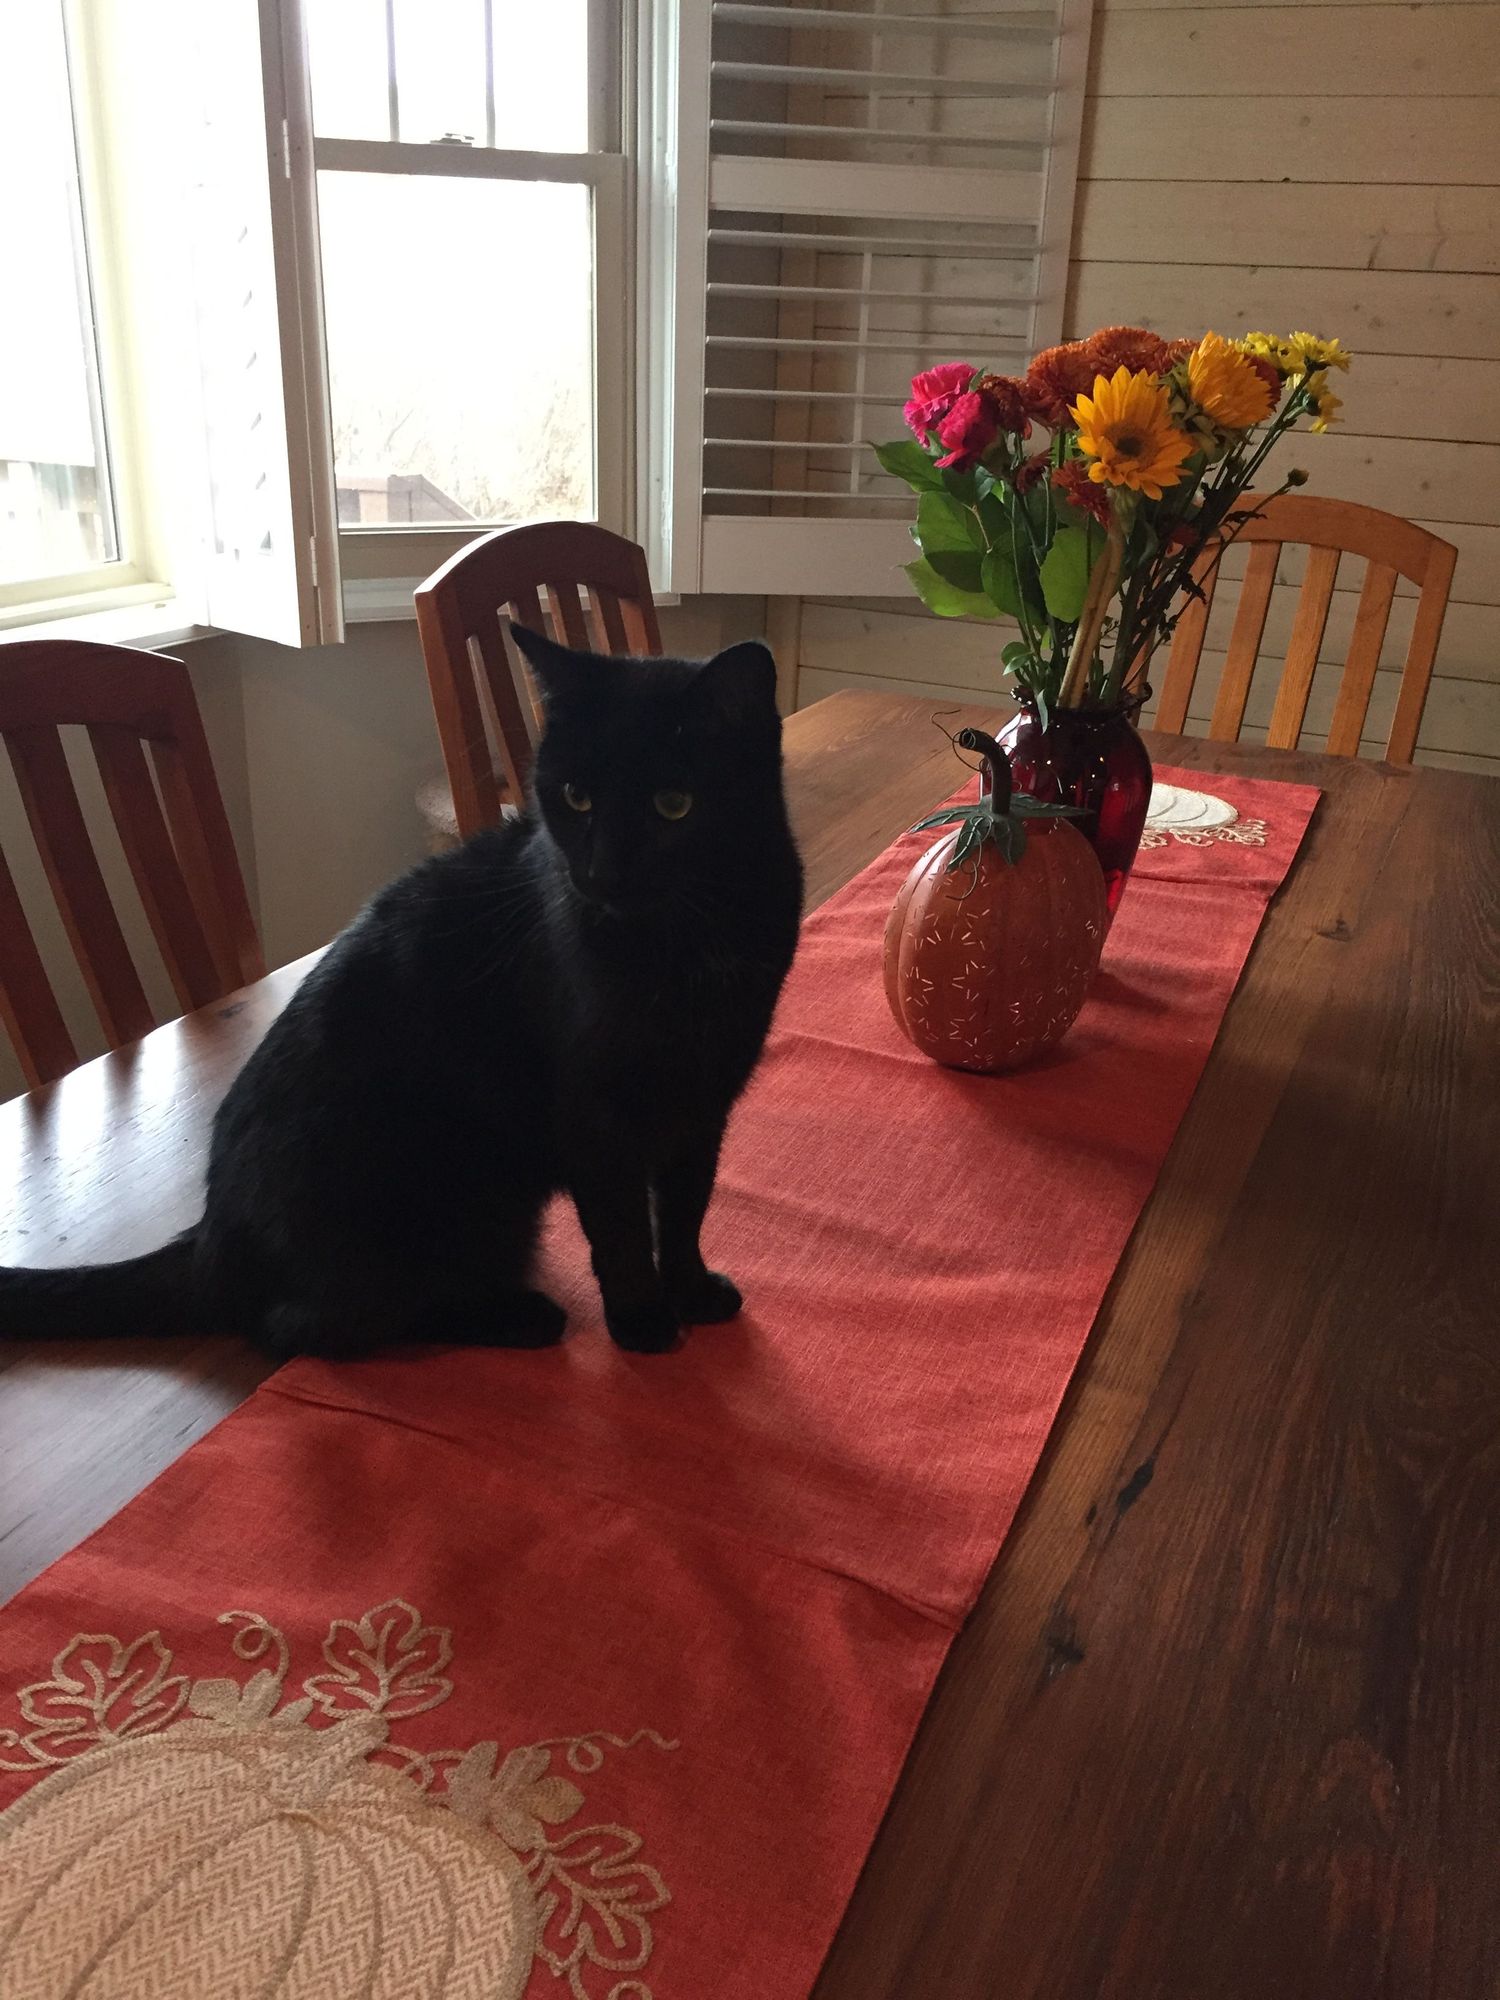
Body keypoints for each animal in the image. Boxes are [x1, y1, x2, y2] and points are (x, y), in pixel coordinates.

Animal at [0, 628, 803, 1359]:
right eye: (576, 798)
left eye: (675, 805)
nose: (599, 874)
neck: (690, 940)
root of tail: (209, 1240)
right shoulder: (594, 1112)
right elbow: (623, 1227)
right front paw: (641, 1321)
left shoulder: (705, 1097)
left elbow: (687, 1206)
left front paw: (691, 1292)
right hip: (450, 1189)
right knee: (305, 1328)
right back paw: (515, 1317)